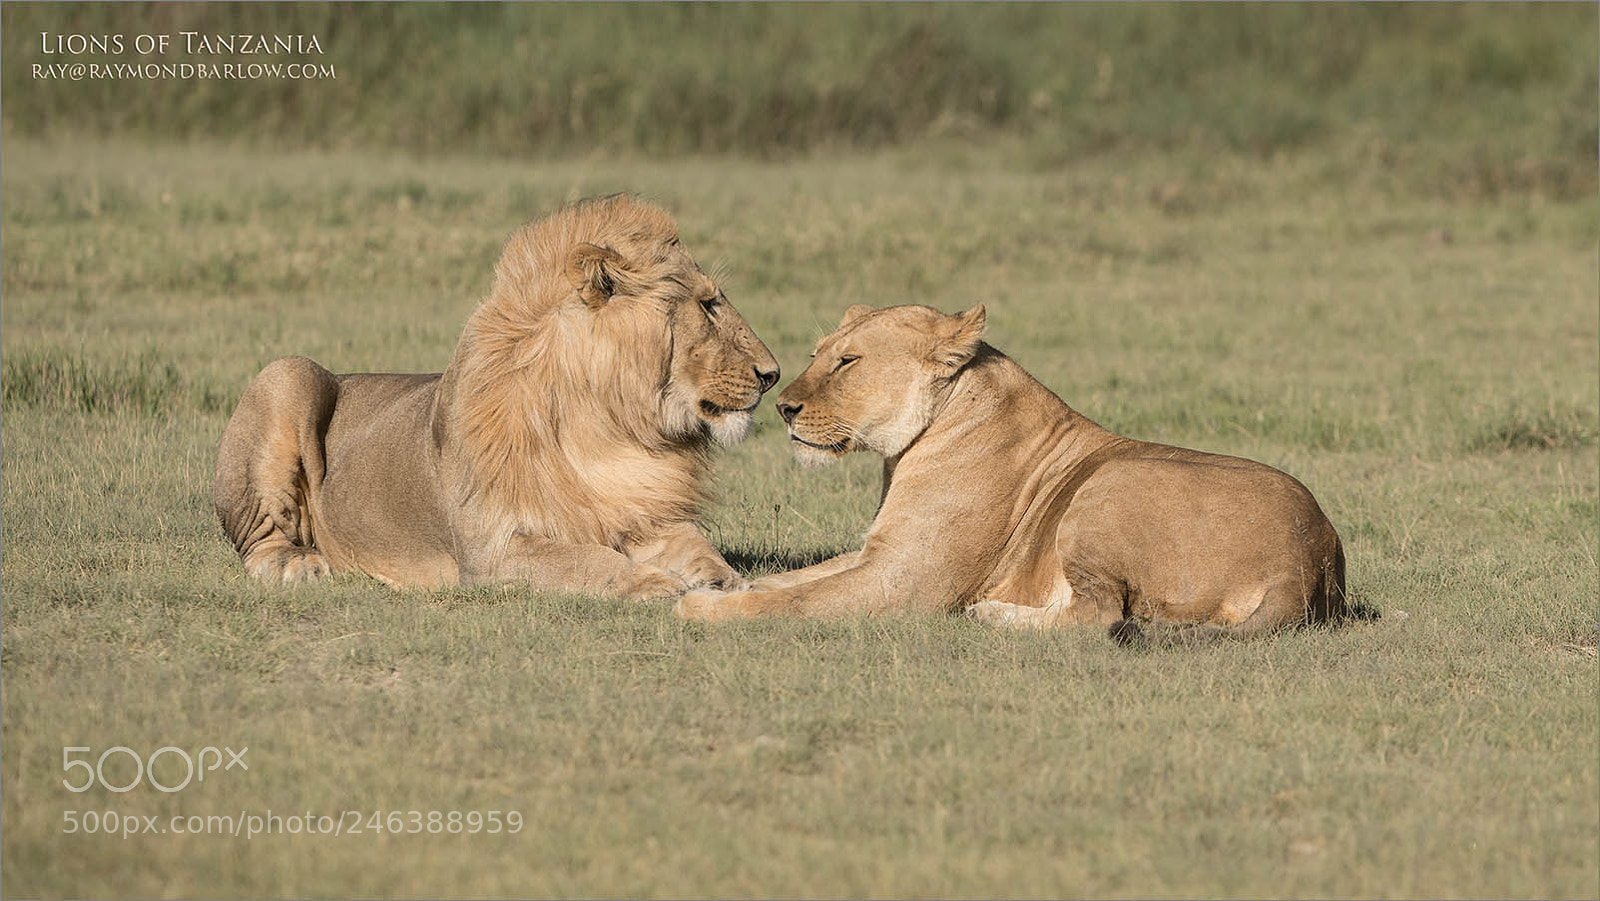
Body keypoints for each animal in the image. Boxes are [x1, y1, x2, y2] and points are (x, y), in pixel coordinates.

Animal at [213, 194, 780, 598]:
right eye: (707, 305)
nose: (772, 375)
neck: (607, 425)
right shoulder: (493, 549)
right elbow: (590, 560)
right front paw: (652, 583)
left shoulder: (644, 511)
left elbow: (697, 545)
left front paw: (730, 583)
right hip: (287, 374)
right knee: (260, 540)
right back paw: (300, 565)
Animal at [676, 303, 1346, 640]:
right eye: (817, 354)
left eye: (848, 361)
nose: (782, 406)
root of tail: (1307, 555)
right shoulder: (878, 552)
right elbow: (792, 580)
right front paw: (725, 587)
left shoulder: (904, 583)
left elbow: (797, 603)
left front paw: (701, 608)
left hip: (1105, 488)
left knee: (1099, 619)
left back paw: (991, 615)